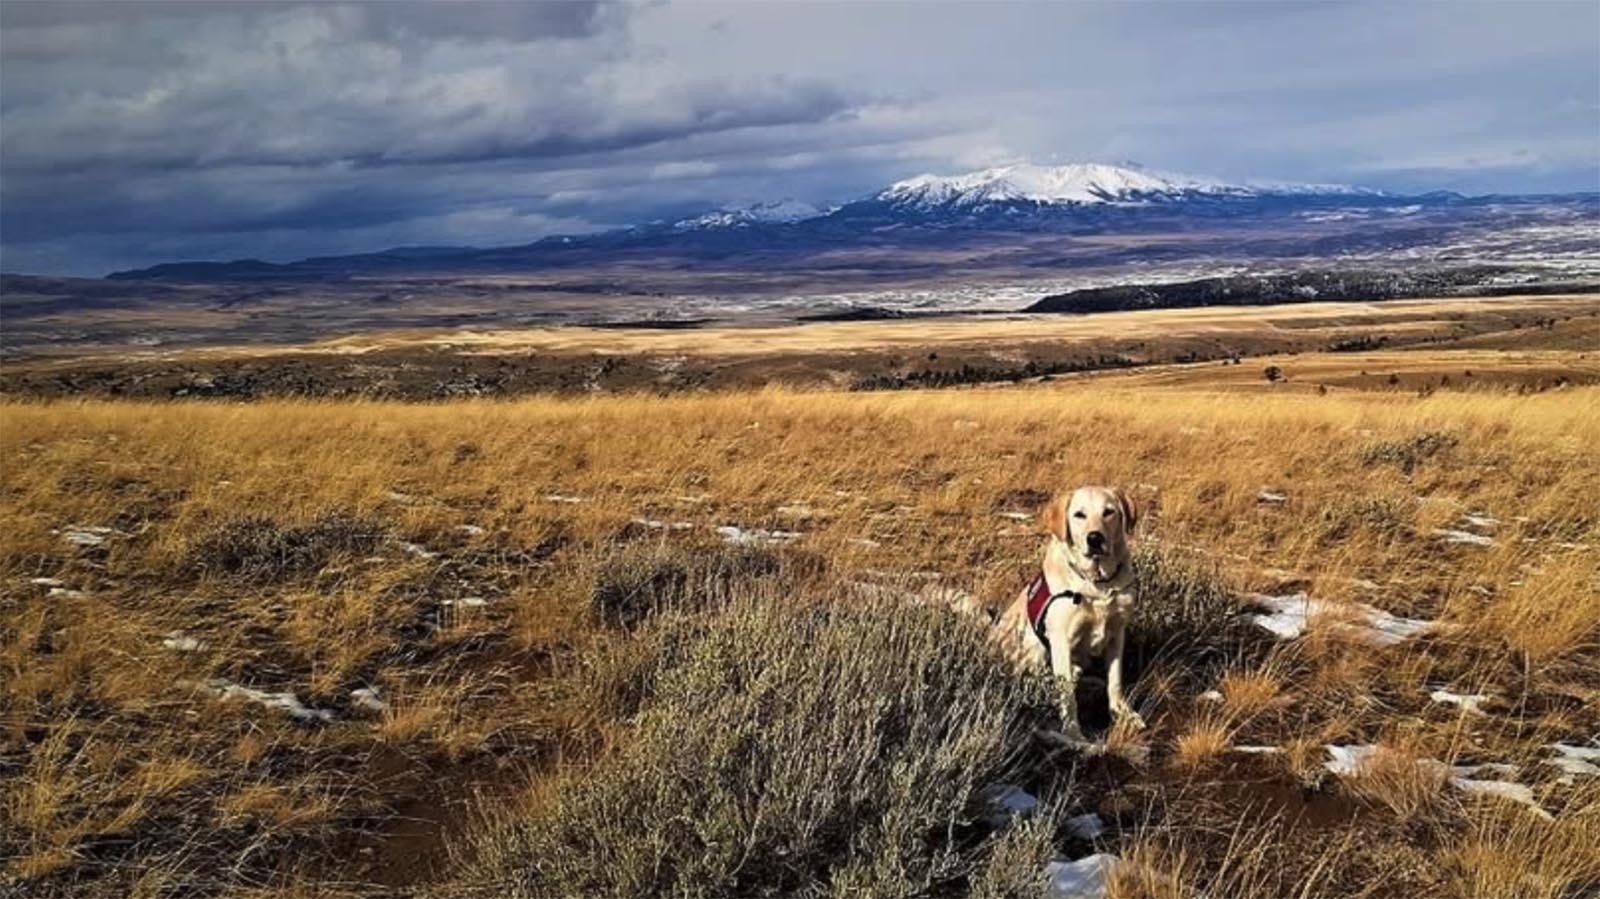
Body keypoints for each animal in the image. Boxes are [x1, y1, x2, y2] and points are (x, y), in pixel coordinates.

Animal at [998, 486, 1143, 743]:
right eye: (1079, 515)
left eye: (1109, 512)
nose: (1095, 538)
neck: (1097, 584)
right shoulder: (1061, 642)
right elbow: (1067, 697)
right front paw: (1073, 732)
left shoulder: (1117, 633)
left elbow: (1115, 680)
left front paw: (1123, 712)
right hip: (1033, 646)